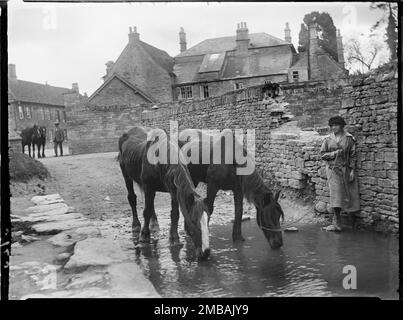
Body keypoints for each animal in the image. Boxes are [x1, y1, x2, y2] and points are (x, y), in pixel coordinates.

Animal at [117, 125, 210, 260]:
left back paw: (154, 225)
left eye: (208, 220)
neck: (159, 158)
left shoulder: (174, 190)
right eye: (194, 221)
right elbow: (146, 211)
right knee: (132, 199)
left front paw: (174, 239)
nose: (206, 252)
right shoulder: (148, 186)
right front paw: (144, 236)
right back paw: (136, 226)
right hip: (126, 174)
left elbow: (175, 214)